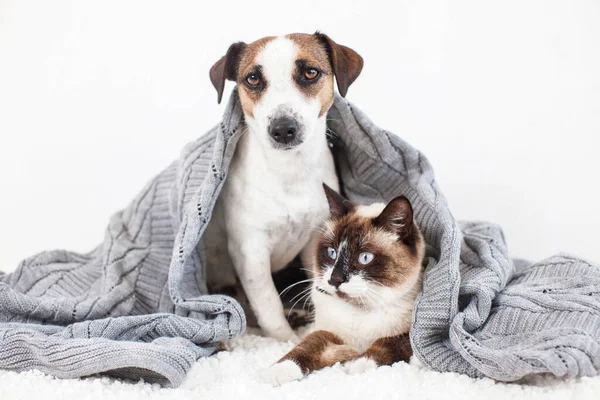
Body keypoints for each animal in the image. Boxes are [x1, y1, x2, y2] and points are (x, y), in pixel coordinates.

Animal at [204, 32, 364, 342]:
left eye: (310, 73)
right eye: (253, 78)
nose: (282, 129)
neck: (290, 172)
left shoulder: (316, 239)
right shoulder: (250, 252)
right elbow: (268, 305)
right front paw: (286, 341)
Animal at [260, 184, 424, 384]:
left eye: (364, 258)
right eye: (332, 253)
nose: (335, 279)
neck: (359, 312)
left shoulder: (410, 335)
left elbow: (386, 343)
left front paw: (361, 363)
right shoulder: (329, 333)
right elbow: (306, 345)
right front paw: (277, 372)